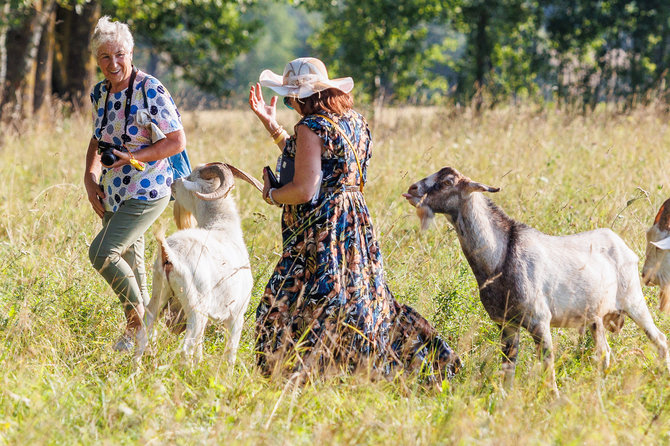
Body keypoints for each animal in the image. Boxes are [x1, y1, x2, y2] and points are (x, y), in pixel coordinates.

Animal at [135, 162, 264, 364]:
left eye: (191, 177)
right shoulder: (237, 315)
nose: (173, 183)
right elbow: (230, 354)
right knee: (185, 349)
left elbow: (200, 348)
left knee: (143, 336)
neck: (223, 228)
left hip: (158, 297)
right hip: (196, 310)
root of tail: (169, 254)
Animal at [404, 167, 670, 394]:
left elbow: (547, 363)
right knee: (604, 352)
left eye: (448, 182)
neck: (501, 256)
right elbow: (508, 366)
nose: (412, 189)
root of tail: (623, 246)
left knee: (659, 339)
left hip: (634, 300)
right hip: (595, 318)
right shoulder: (506, 324)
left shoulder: (540, 321)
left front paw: (552, 398)